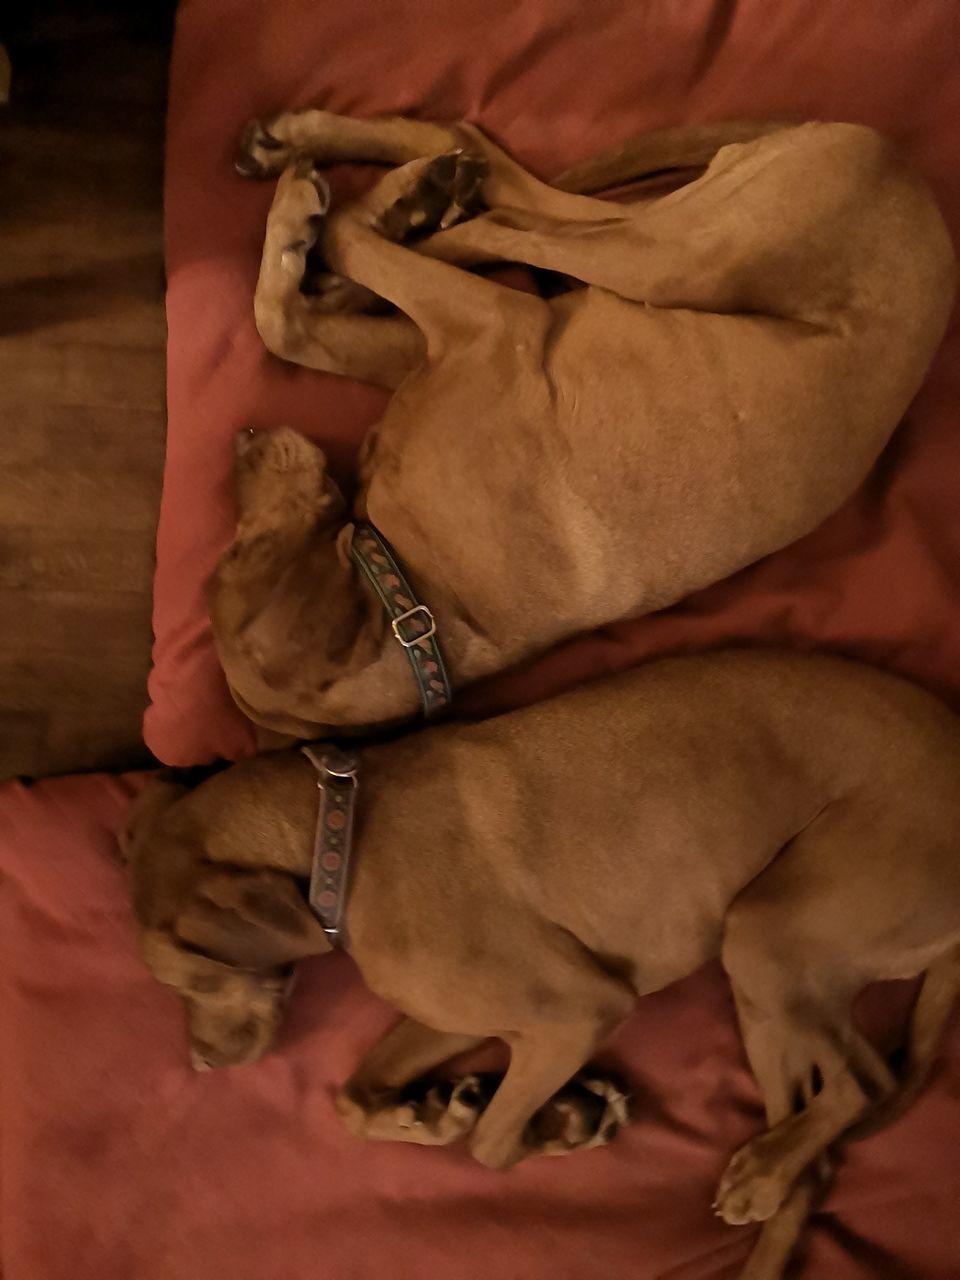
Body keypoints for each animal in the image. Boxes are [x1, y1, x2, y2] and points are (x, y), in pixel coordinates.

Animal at [122, 655, 960, 1274]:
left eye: (193, 978)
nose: (198, 1064)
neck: (340, 830)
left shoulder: (576, 1011)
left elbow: (492, 1143)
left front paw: (562, 1122)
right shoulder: (462, 1015)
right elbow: (355, 1099)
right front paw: (436, 1111)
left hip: (763, 937)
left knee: (857, 1088)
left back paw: (757, 1173)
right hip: (780, 986)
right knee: (841, 1122)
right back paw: (768, 1189)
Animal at [209, 117, 957, 742]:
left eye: (235, 555)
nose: (241, 439)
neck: (418, 601)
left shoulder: (493, 322)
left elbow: (292, 312)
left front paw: (315, 230)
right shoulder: (445, 344)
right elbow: (286, 326)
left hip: (672, 250)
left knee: (499, 205)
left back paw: (394, 198)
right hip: (674, 238)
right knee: (505, 193)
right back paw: (380, 187)